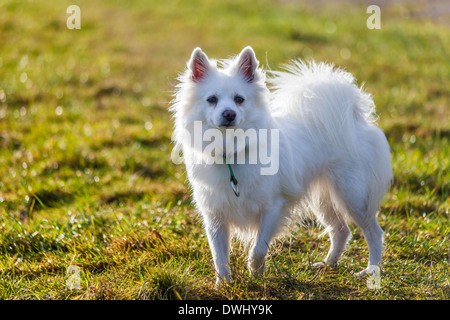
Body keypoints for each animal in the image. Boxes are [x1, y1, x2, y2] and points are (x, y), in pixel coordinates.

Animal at [171, 46, 392, 284]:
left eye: (239, 99)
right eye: (211, 99)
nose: (229, 113)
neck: (230, 150)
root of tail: (355, 118)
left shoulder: (273, 208)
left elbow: (258, 249)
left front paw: (255, 274)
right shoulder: (215, 217)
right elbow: (219, 256)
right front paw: (224, 285)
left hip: (353, 196)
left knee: (373, 232)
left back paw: (371, 271)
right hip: (323, 199)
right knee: (341, 230)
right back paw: (327, 265)